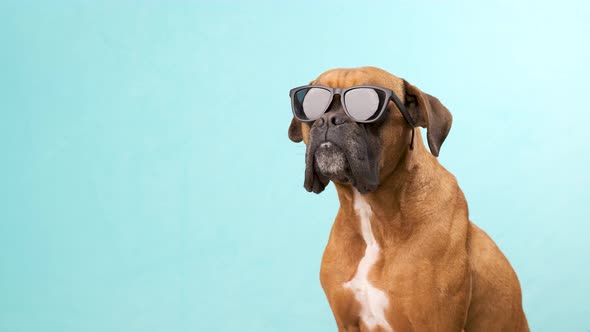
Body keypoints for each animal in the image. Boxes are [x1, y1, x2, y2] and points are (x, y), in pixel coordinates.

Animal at [290, 66, 528, 330]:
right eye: (310, 103)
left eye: (366, 104)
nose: (328, 119)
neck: (375, 221)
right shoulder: (346, 322)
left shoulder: (436, 324)